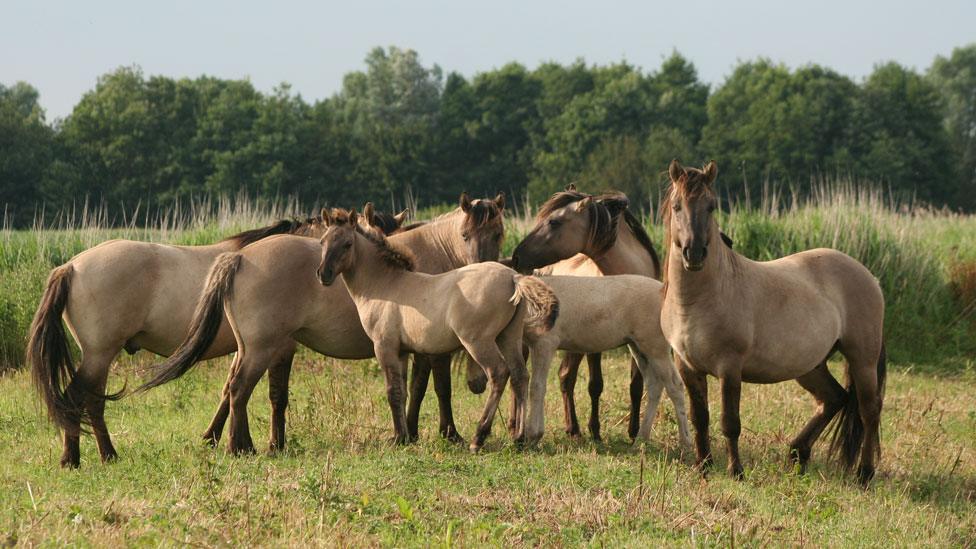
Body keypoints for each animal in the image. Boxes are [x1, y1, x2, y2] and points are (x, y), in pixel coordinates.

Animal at [28, 210, 406, 466]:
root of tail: (71, 266)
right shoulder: (278, 346)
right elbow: (273, 396)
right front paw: (266, 444)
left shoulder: (248, 347)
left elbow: (229, 392)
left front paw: (213, 438)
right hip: (100, 353)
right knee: (76, 398)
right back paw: (73, 457)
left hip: (101, 354)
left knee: (91, 401)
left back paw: (106, 454)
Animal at [135, 197, 504, 454]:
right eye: (465, 234)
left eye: (499, 234)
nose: (487, 266)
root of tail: (240, 257)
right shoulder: (430, 347)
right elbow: (435, 388)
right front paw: (443, 434)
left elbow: (416, 387)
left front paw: (414, 433)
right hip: (262, 347)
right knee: (239, 388)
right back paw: (240, 446)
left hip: (251, 346)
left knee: (233, 388)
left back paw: (227, 440)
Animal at [320, 206, 560, 450]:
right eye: (323, 242)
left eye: (347, 244)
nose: (323, 274)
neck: (385, 284)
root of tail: (513, 277)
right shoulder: (402, 351)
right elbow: (403, 391)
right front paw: (404, 436)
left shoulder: (384, 347)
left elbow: (393, 391)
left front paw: (398, 438)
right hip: (508, 337)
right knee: (520, 376)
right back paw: (519, 439)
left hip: (478, 342)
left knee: (499, 373)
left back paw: (479, 437)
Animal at [524, 274, 692, 450]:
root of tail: (664, 291)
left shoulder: (544, 344)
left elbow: (537, 387)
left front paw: (533, 436)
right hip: (638, 347)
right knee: (655, 385)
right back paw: (640, 440)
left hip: (656, 347)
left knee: (675, 386)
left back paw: (685, 444)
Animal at [664, 159, 884, 484]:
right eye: (677, 206)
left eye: (711, 206)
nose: (694, 253)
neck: (699, 299)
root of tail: (869, 276)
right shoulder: (687, 367)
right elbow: (700, 418)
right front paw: (703, 466)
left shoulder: (730, 368)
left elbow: (730, 422)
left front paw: (736, 471)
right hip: (810, 366)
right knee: (834, 398)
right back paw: (797, 454)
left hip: (862, 360)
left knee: (869, 410)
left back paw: (864, 474)